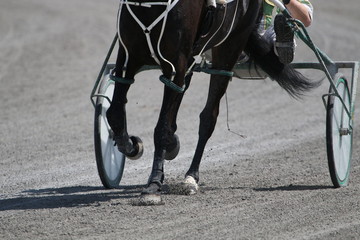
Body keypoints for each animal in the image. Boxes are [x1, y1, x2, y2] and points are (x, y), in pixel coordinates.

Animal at [106, 0, 316, 204]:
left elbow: (162, 128)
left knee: (208, 117)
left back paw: (191, 177)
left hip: (229, 47)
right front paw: (130, 146)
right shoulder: (128, 54)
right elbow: (114, 113)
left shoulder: (176, 63)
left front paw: (153, 185)